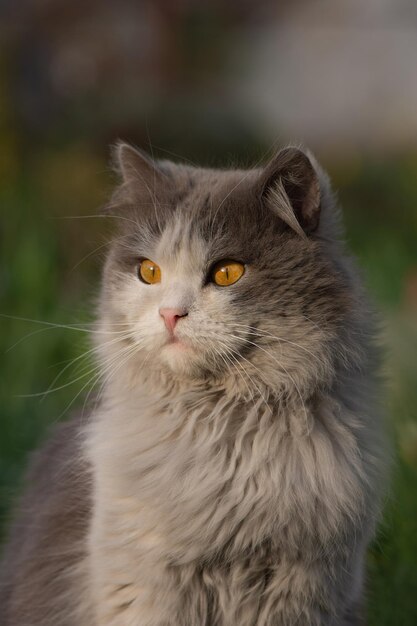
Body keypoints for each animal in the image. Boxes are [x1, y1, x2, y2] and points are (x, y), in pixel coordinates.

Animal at [0, 144, 386, 620]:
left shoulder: (300, 590)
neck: (223, 440)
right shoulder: (147, 588)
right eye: (149, 272)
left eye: (227, 273)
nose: (170, 314)